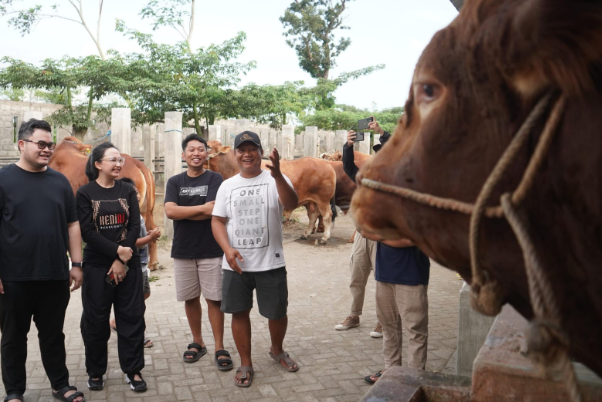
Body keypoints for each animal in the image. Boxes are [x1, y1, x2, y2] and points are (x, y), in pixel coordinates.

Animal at [207, 144, 338, 245]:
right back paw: (305, 234)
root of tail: (327, 164)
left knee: (327, 216)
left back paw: (324, 238)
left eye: (208, 146)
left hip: (323, 200)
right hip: (312, 201)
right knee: (313, 216)